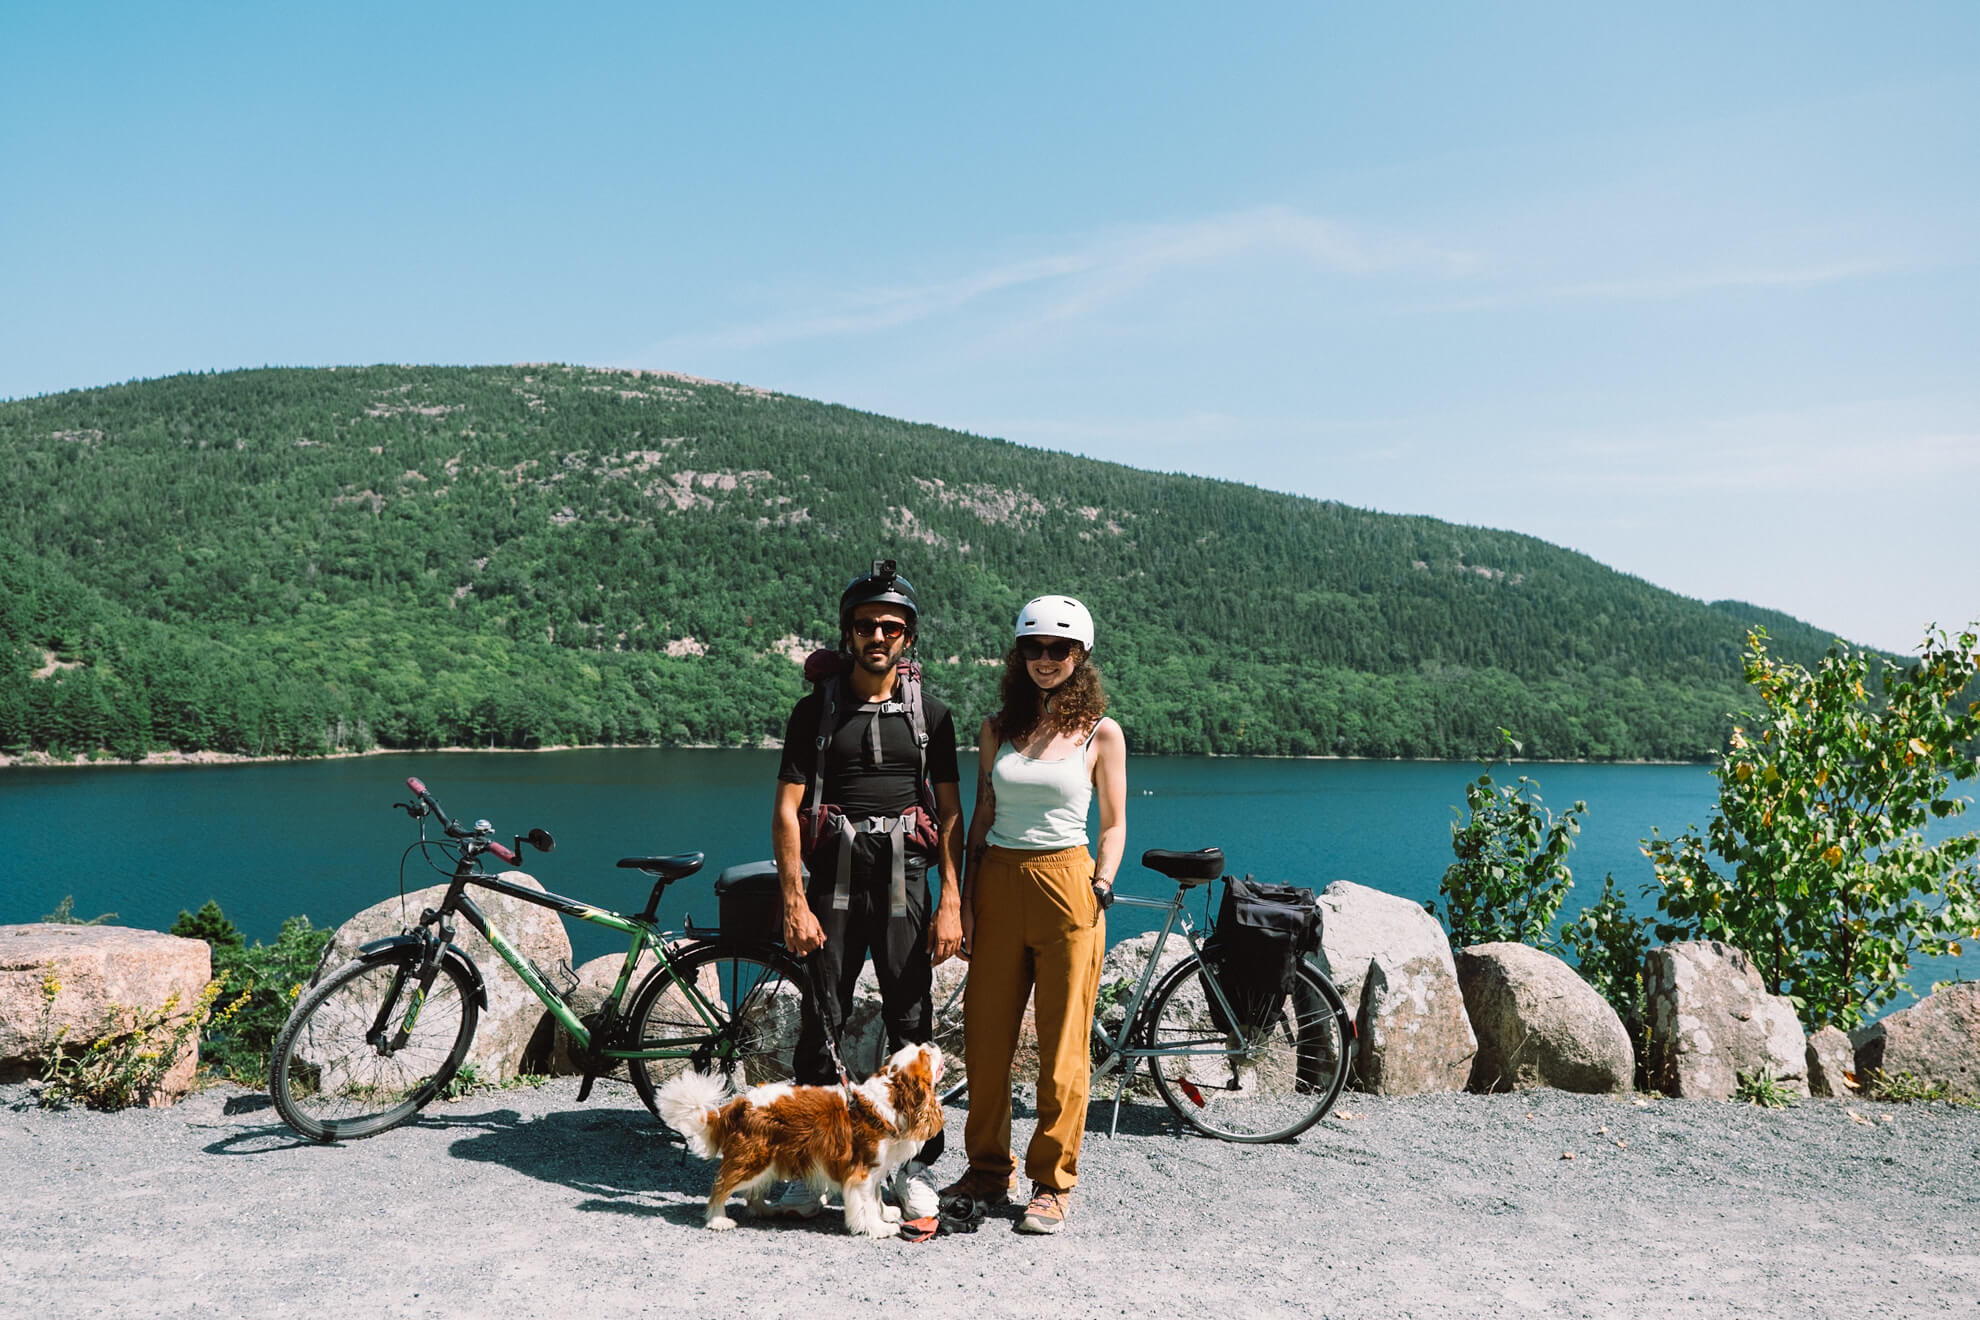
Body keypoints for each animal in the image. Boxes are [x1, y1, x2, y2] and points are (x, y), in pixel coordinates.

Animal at [653, 1044, 946, 1242]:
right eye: (925, 1056)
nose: (932, 1044)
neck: (891, 1098)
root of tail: (740, 1103)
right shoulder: (861, 1172)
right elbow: (866, 1204)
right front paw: (878, 1228)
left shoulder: (874, 1171)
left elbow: (875, 1198)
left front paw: (887, 1214)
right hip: (754, 1158)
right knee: (722, 1185)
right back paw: (717, 1219)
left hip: (768, 1160)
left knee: (752, 1191)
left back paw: (764, 1209)